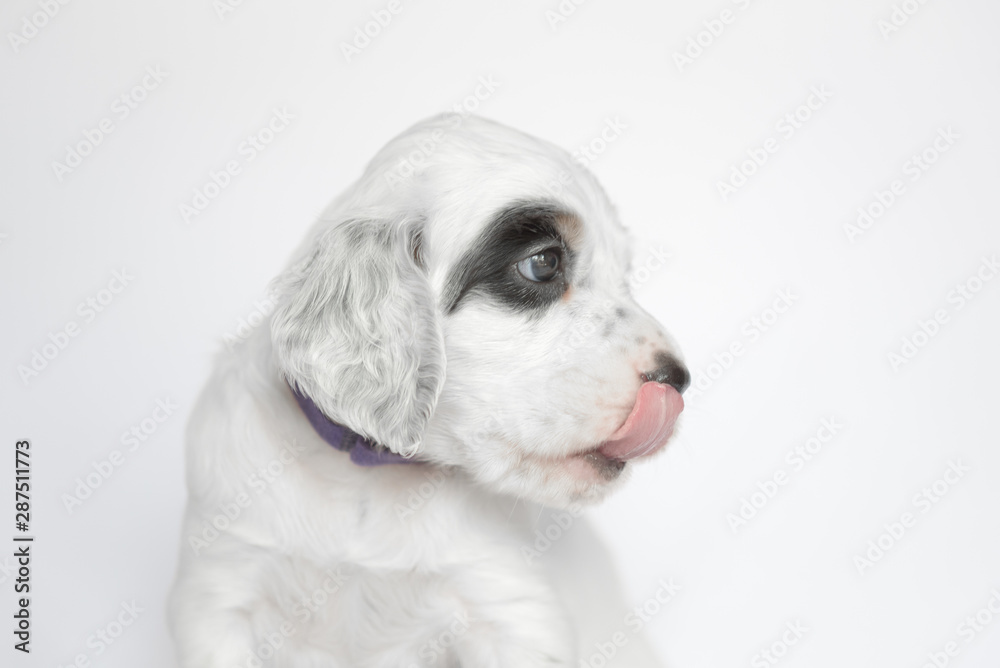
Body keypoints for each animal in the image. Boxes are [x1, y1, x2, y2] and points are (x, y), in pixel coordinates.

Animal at [170, 116, 688, 668]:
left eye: (624, 275)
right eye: (543, 265)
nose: (679, 378)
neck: (365, 477)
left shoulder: (510, 609)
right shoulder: (221, 591)